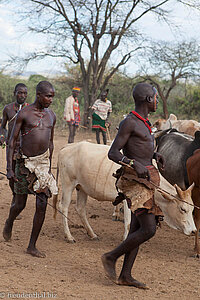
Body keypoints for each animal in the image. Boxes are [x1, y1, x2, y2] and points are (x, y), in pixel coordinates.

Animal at [52, 142, 195, 243]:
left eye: (192, 209)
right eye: (182, 209)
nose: (193, 231)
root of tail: (68, 146)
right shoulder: (128, 200)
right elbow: (128, 223)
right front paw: (126, 239)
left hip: (82, 188)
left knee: (80, 209)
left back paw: (92, 234)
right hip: (68, 184)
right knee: (64, 207)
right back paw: (69, 236)